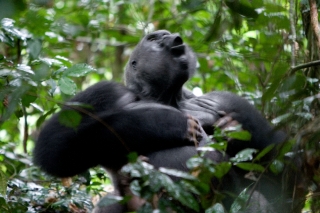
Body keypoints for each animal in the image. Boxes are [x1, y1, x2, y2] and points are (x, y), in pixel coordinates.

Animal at [33, 30, 294, 213]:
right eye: (154, 39)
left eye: (167, 35)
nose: (174, 39)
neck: (166, 95)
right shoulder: (104, 92)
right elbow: (54, 147)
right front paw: (167, 123)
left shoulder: (226, 100)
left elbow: (280, 155)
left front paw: (234, 130)